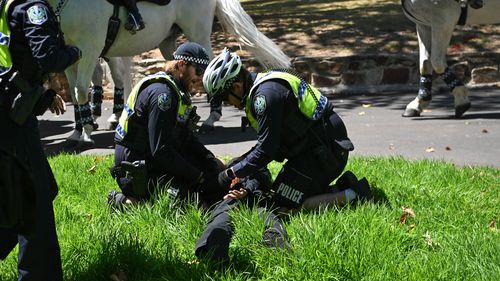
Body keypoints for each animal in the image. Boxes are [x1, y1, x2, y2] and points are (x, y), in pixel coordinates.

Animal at [48, 0, 292, 144]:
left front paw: (87, 131)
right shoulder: (72, 53)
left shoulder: (91, 48)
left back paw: (211, 119)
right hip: (169, 44)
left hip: (198, 33)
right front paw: (78, 131)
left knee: (211, 70)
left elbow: (81, 90)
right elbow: (76, 92)